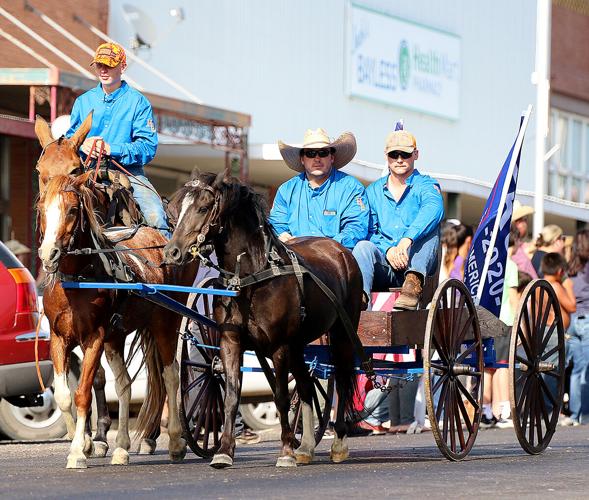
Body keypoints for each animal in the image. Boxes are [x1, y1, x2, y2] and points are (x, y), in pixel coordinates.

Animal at [38, 173, 196, 468]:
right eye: (42, 209)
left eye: (73, 210)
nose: (48, 254)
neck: (76, 280)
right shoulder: (59, 338)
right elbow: (65, 396)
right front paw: (84, 441)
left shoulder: (94, 338)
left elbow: (82, 394)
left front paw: (78, 452)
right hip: (116, 337)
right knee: (124, 384)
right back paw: (121, 447)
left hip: (166, 323)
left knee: (170, 375)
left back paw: (176, 441)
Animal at [162, 173, 362, 468]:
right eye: (175, 211)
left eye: (202, 208)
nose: (172, 252)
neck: (250, 278)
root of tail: (339, 251)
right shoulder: (231, 341)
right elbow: (232, 395)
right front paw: (224, 451)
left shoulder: (279, 347)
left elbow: (280, 397)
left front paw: (286, 451)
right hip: (299, 345)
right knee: (305, 384)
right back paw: (306, 446)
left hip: (341, 334)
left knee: (343, 377)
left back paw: (337, 443)